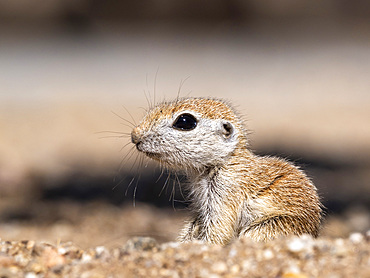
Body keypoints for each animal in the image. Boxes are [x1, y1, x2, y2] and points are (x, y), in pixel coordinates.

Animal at [131, 96, 320, 244]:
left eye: (185, 121)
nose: (134, 135)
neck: (225, 162)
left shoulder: (226, 190)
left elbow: (219, 230)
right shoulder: (201, 204)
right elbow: (194, 224)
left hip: (268, 227)